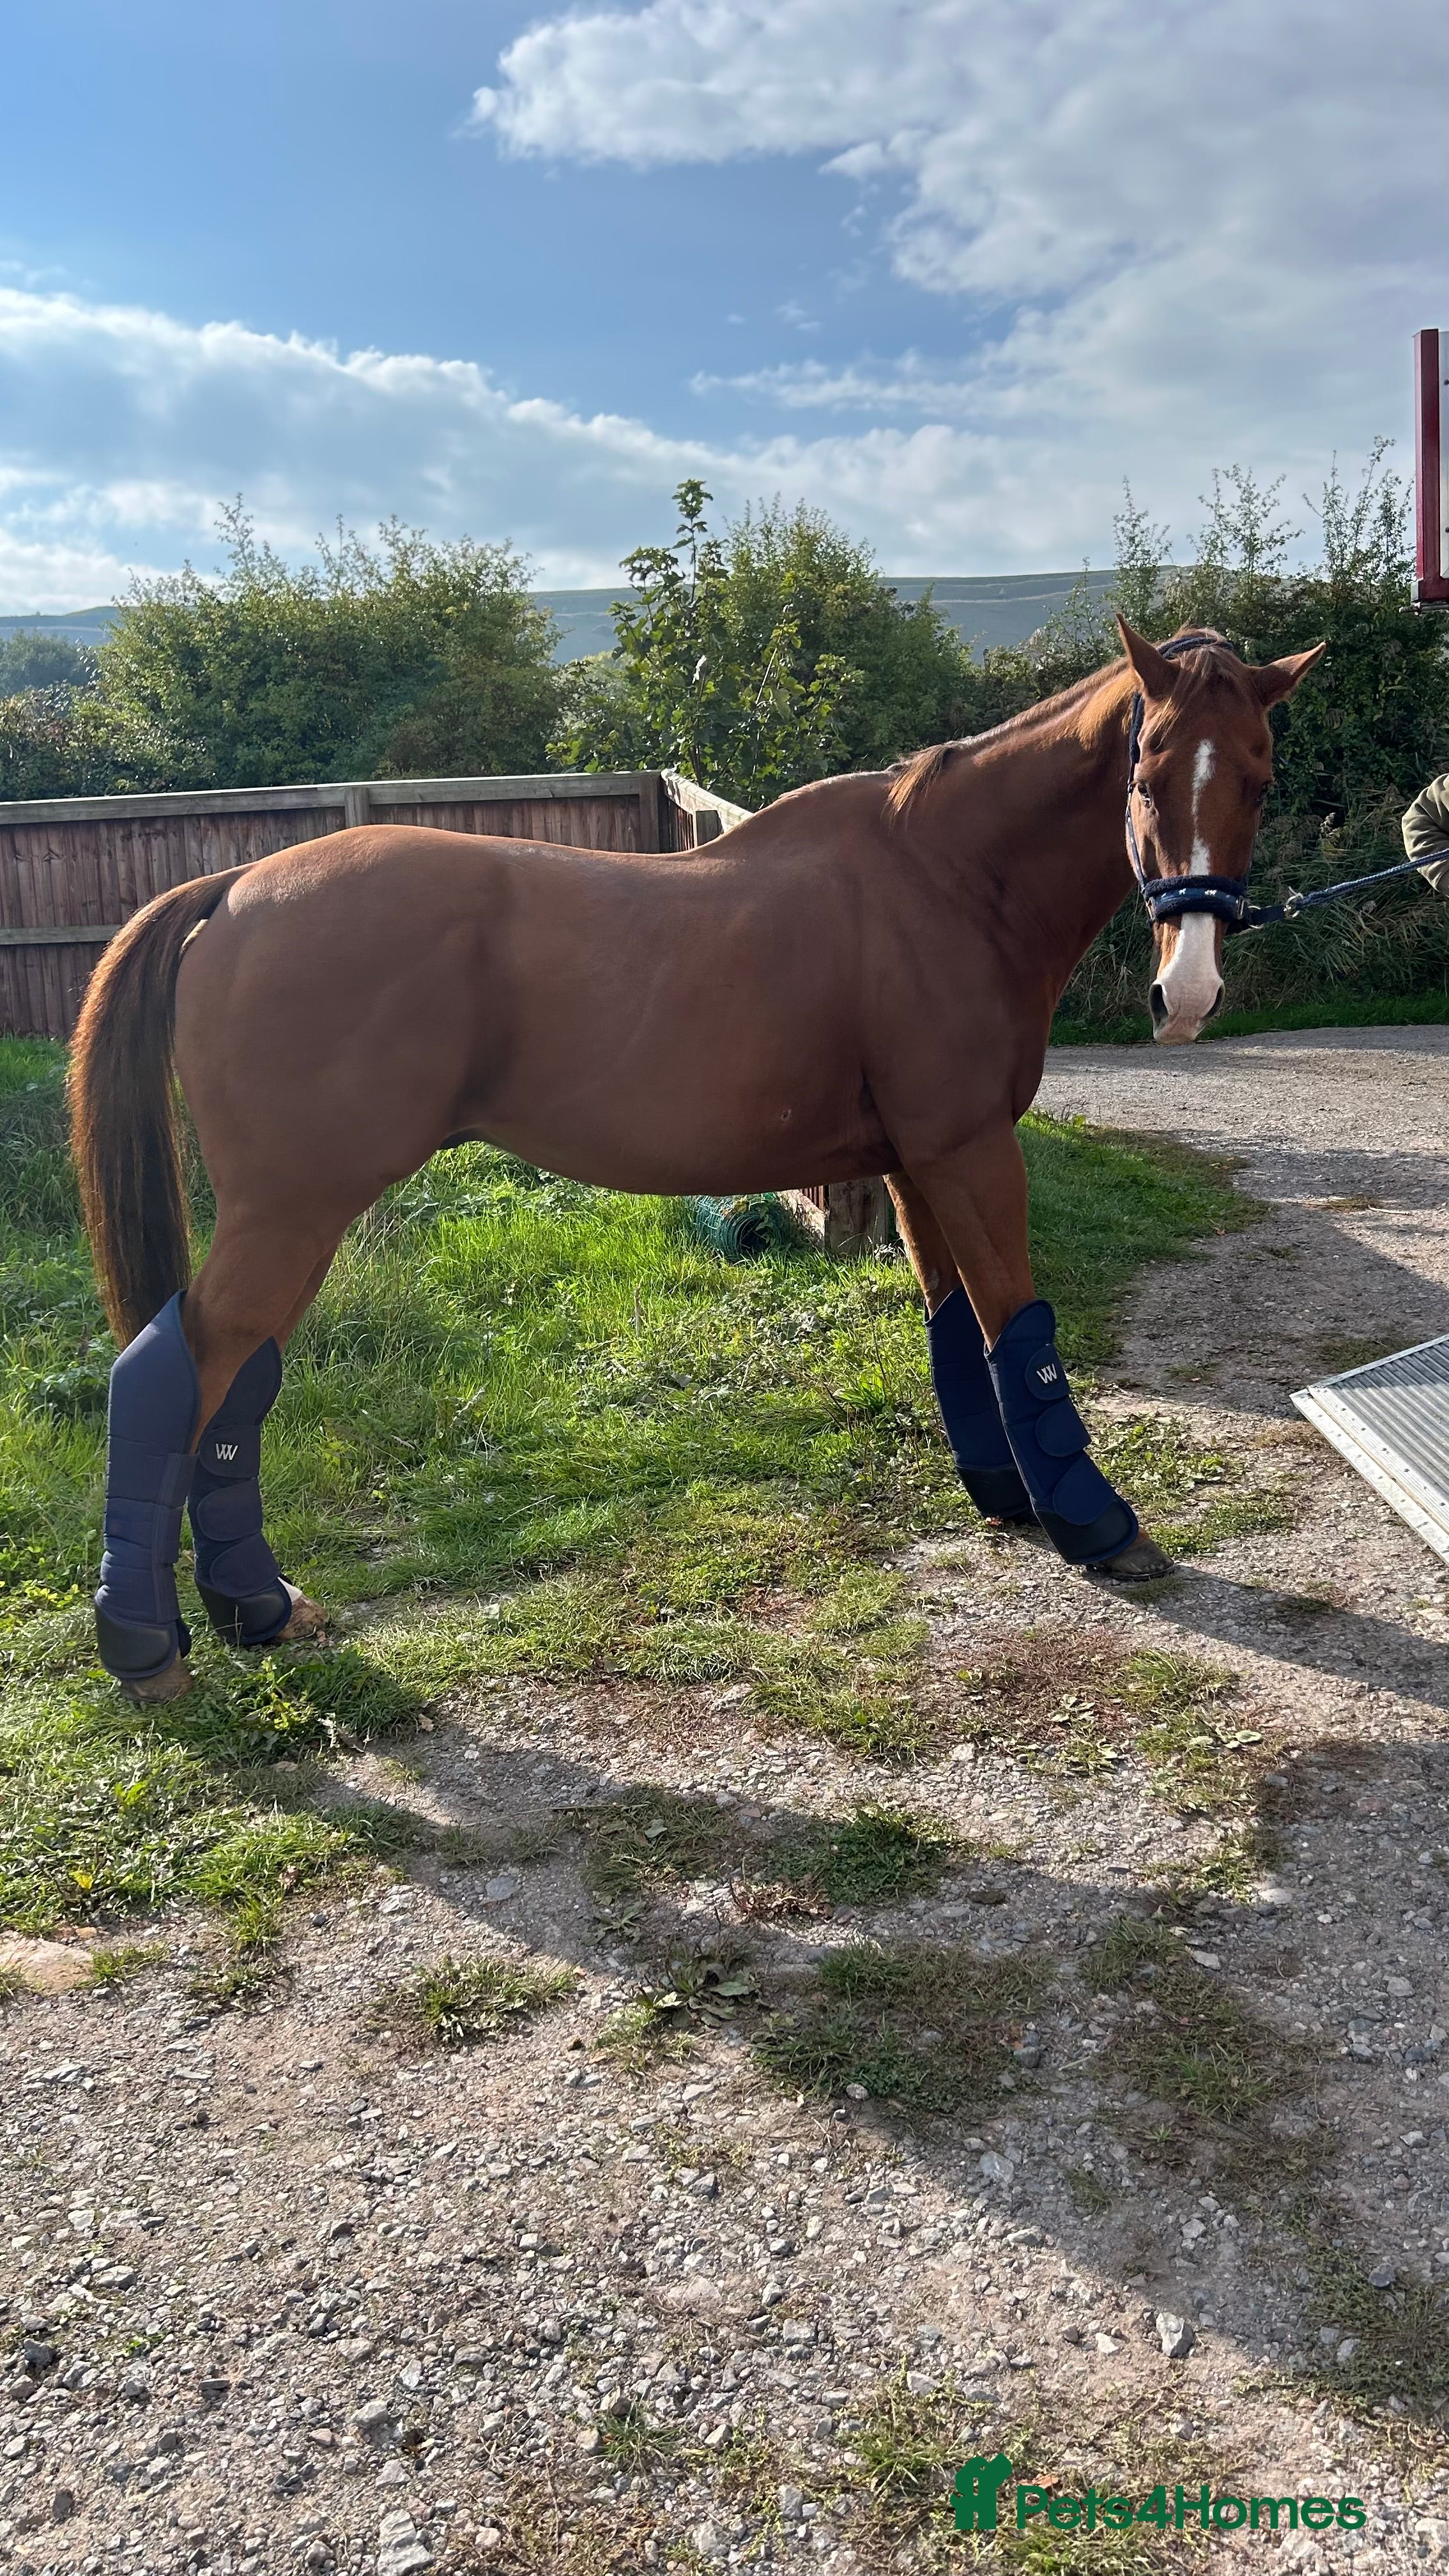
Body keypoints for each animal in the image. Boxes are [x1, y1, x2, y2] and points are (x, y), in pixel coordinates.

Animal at [69, 620, 1324, 1702]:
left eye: (1259, 778)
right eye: (1146, 769)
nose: (1187, 992)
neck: (945, 880)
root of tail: (234, 889)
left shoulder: (920, 1159)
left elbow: (960, 1329)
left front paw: (1009, 1496)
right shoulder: (969, 1151)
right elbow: (1022, 1328)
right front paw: (1096, 1524)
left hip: (297, 1212)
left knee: (234, 1382)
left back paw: (257, 1607)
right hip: (292, 1208)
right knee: (169, 1370)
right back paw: (146, 1645)